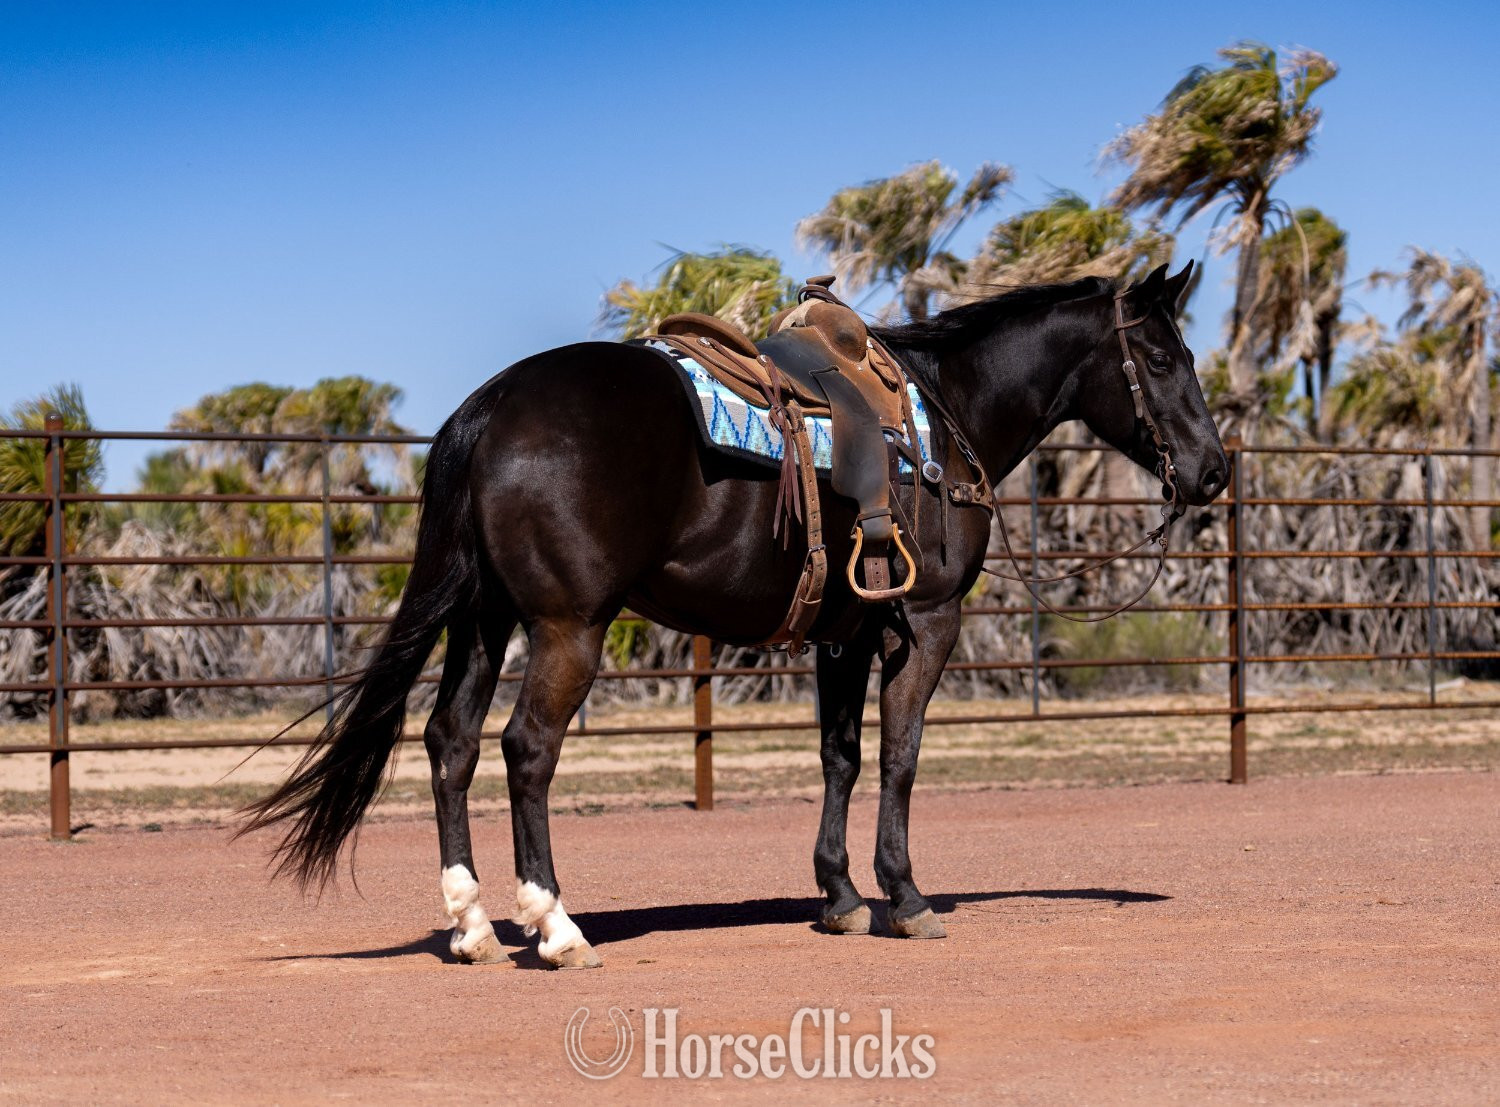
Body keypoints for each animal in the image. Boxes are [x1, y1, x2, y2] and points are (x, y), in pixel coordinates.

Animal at [241, 262, 1226, 969]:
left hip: (482, 621)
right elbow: (901, 756)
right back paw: (556, 927)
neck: (945, 417)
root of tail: (491, 408)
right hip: (567, 627)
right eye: (1165, 359)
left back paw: (474, 926)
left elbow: (841, 755)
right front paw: (905, 898)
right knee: (527, 749)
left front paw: (840, 898)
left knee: (450, 743)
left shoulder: (846, 632)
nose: (1213, 471)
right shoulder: (926, 620)